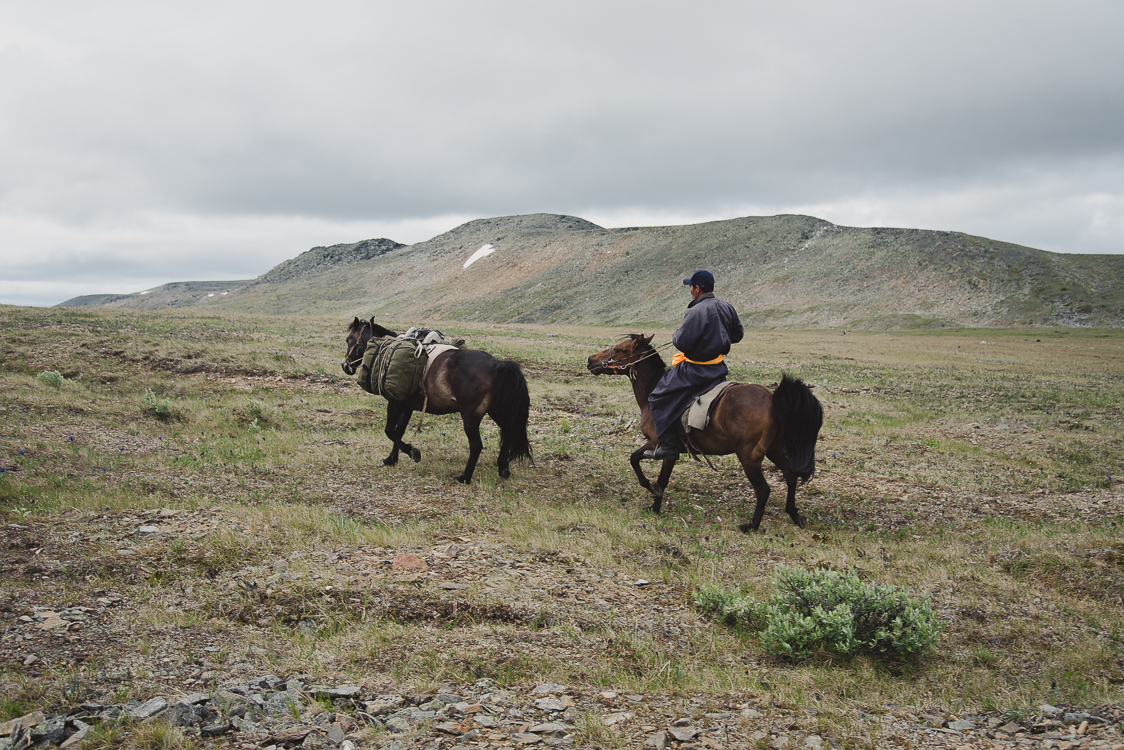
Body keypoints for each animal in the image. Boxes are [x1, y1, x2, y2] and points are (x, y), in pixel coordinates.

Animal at [339, 314, 532, 481]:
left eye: (349, 339)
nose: (345, 365)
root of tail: (498, 364)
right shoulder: (408, 407)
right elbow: (398, 431)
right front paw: (392, 458)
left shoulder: (395, 403)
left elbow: (389, 431)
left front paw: (413, 452)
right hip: (496, 411)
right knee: (508, 433)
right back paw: (503, 468)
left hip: (470, 416)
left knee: (476, 445)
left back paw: (464, 477)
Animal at [588, 335, 827, 532]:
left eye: (619, 349)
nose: (590, 360)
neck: (652, 393)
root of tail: (773, 398)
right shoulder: (671, 452)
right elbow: (662, 478)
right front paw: (655, 506)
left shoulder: (659, 444)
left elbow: (635, 460)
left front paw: (650, 489)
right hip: (774, 450)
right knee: (790, 476)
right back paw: (794, 515)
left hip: (749, 457)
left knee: (763, 489)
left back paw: (752, 525)